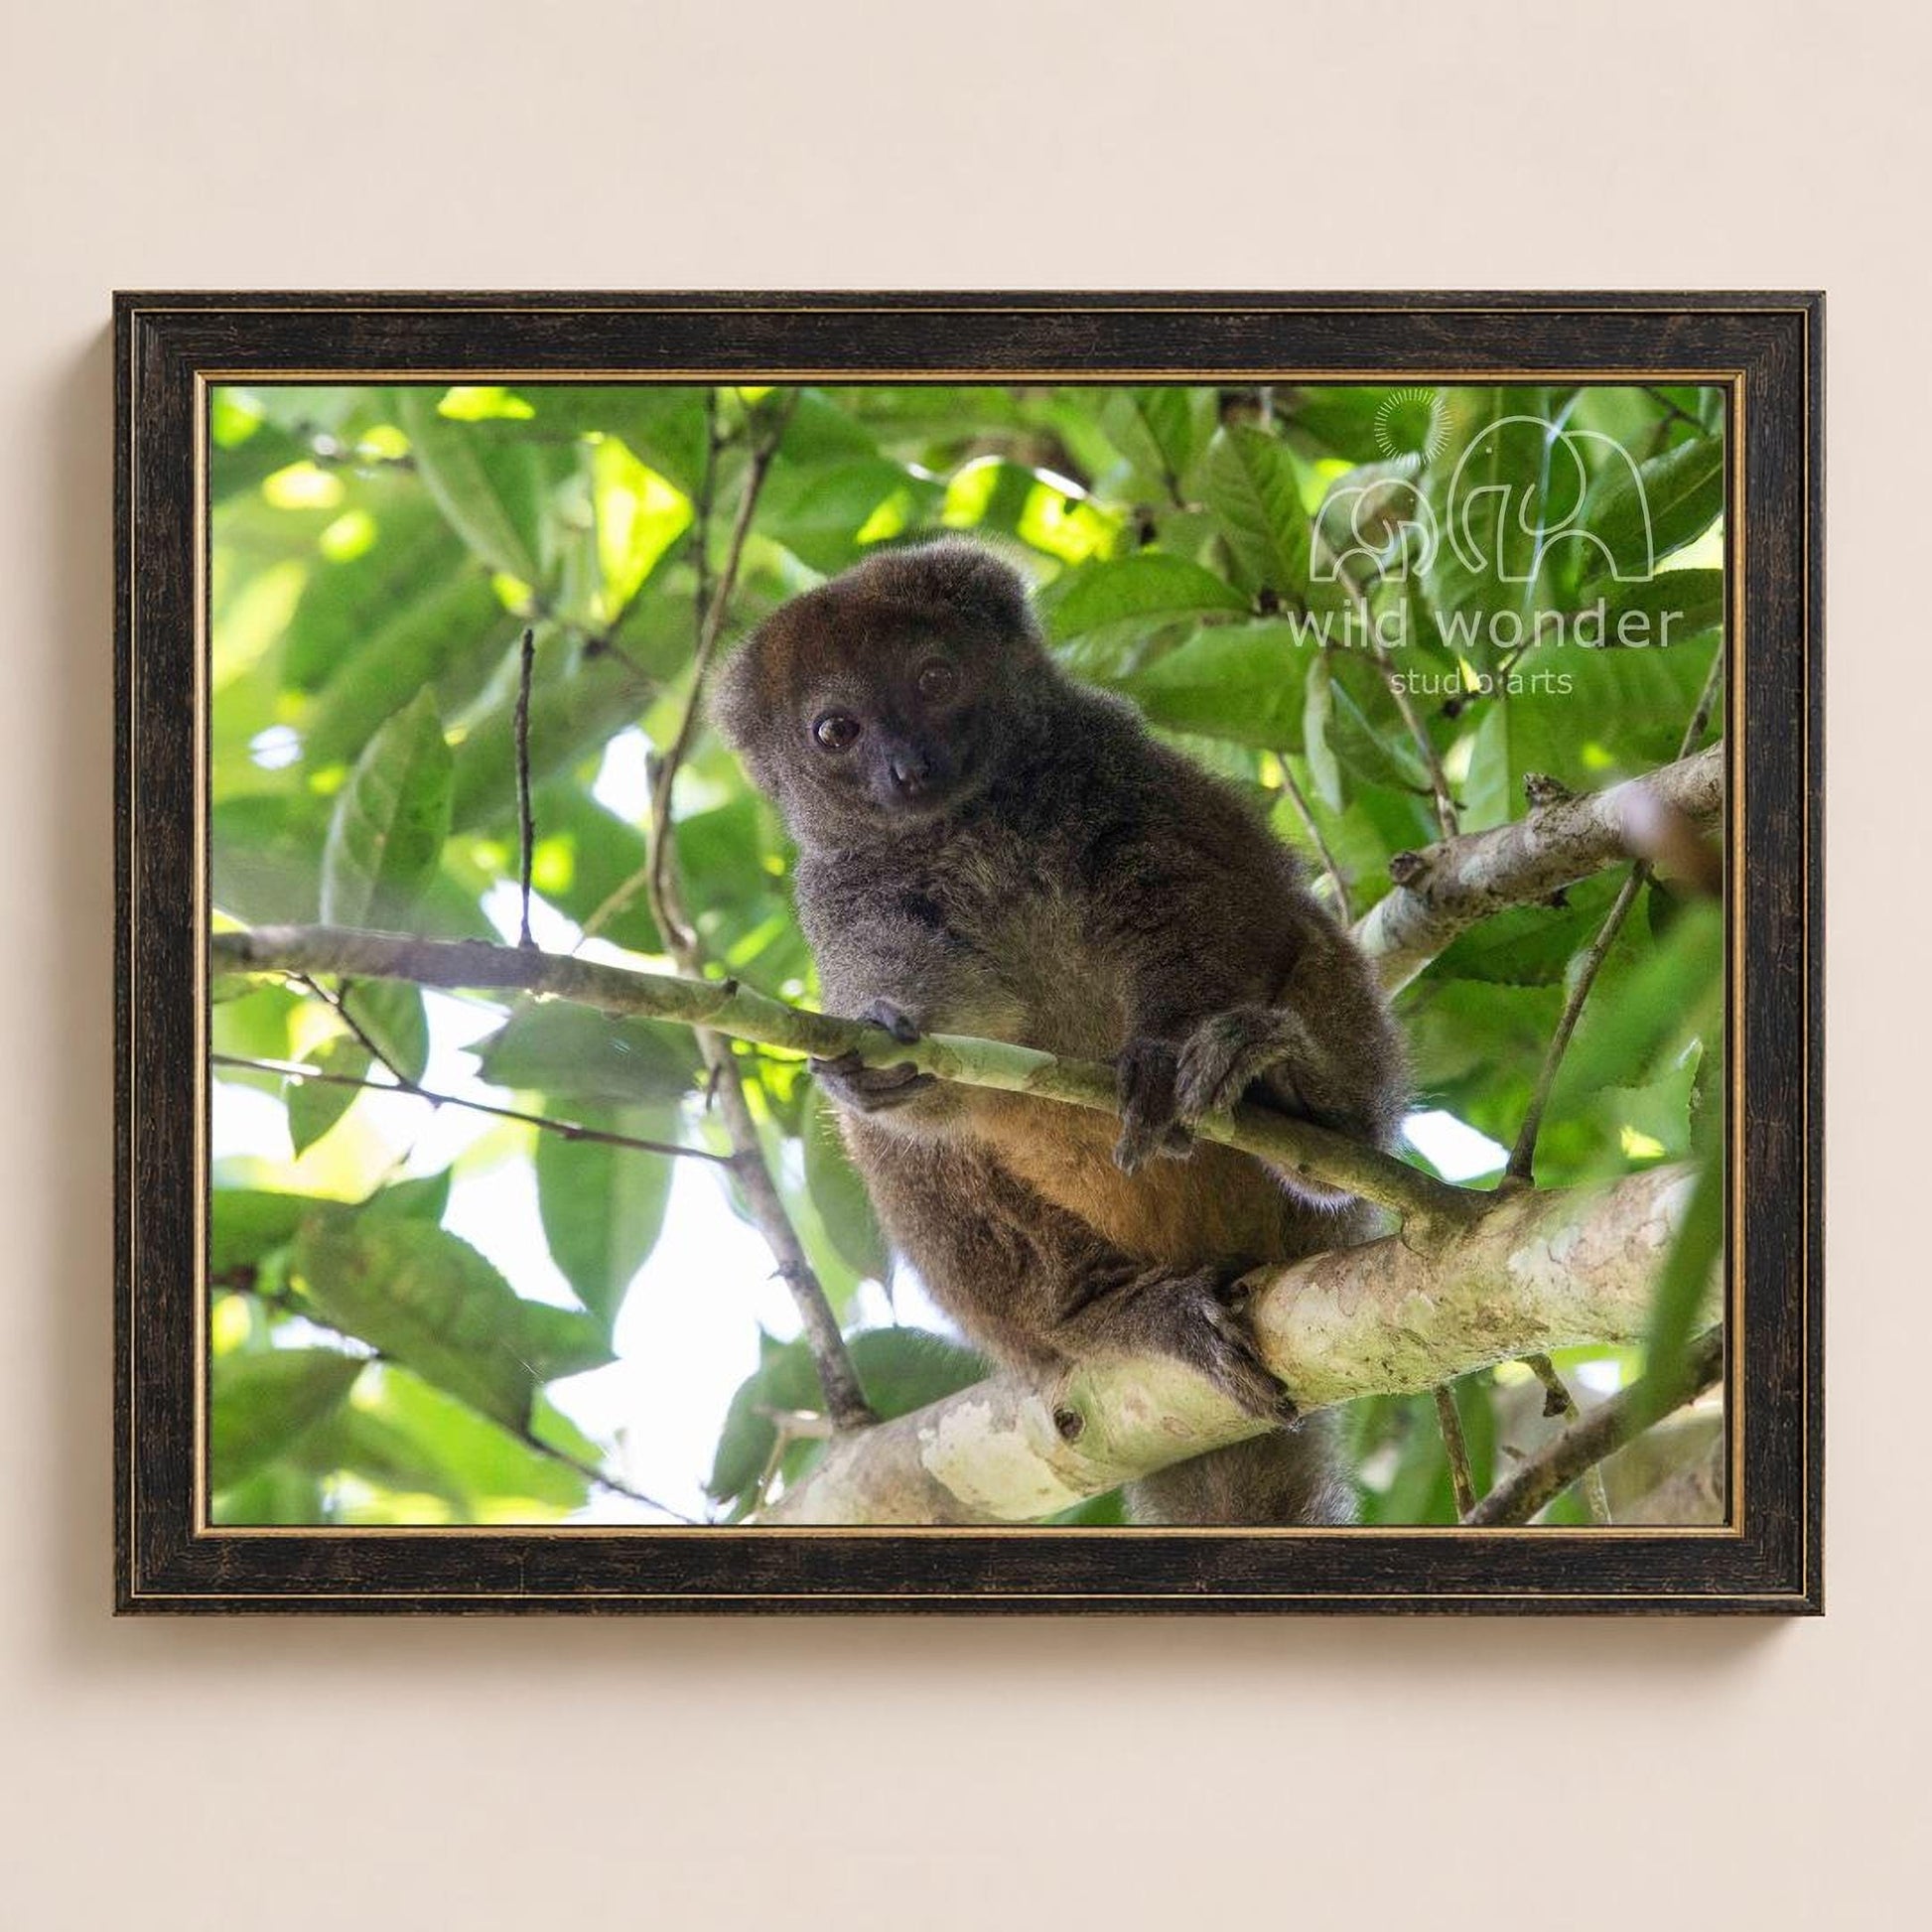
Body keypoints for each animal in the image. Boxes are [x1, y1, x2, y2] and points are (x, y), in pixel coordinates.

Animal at [712, 538, 1407, 1524]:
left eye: (934, 678)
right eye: (836, 731)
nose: (908, 765)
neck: (965, 824)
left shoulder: (1115, 766)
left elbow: (1216, 904)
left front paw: (1168, 1051)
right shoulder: (843, 893)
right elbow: (919, 1012)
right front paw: (890, 1043)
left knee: (1302, 937)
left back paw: (1316, 1110)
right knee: (889, 1143)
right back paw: (1110, 1313)